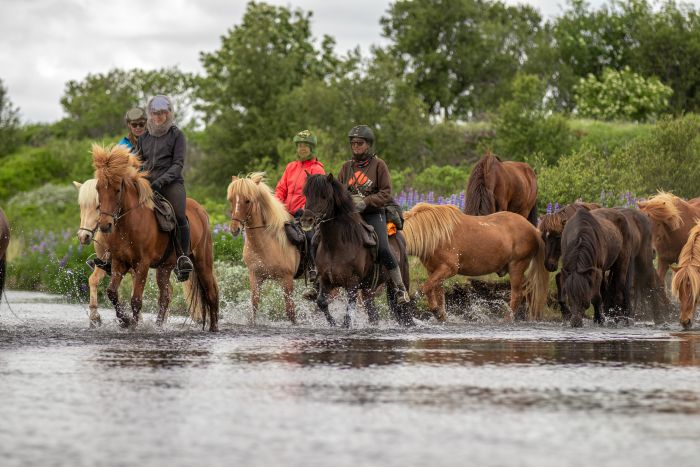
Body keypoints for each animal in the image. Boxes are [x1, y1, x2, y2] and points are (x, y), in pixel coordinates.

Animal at [75, 177, 204, 328]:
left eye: (97, 206)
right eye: (81, 207)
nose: (83, 236)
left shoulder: (135, 265)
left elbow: (133, 290)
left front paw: (135, 320)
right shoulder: (107, 263)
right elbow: (94, 280)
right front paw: (95, 318)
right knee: (168, 291)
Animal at [91, 144, 219, 330]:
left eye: (117, 189)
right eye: (98, 188)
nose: (105, 225)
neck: (130, 224)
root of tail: (201, 210)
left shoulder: (142, 264)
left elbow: (136, 299)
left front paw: (134, 325)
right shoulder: (118, 262)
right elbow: (112, 292)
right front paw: (125, 321)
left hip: (203, 261)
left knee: (211, 293)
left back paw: (213, 328)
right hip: (165, 267)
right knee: (165, 295)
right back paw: (159, 325)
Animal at [226, 173, 300, 326]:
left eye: (247, 200)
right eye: (231, 199)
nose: (234, 229)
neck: (266, 245)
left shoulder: (287, 279)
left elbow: (290, 312)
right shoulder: (256, 277)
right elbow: (254, 306)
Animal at [298, 173, 412, 330]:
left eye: (324, 196)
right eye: (306, 194)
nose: (306, 221)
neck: (336, 245)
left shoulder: (352, 283)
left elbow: (347, 316)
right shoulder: (325, 280)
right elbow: (321, 302)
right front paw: (333, 324)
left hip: (397, 280)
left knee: (405, 310)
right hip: (368, 290)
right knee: (373, 313)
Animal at [402, 203, 548, 324]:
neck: (437, 235)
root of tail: (534, 230)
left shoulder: (449, 268)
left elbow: (424, 288)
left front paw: (435, 311)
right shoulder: (433, 271)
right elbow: (436, 294)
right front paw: (441, 315)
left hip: (517, 266)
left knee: (517, 294)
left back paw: (507, 319)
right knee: (529, 291)